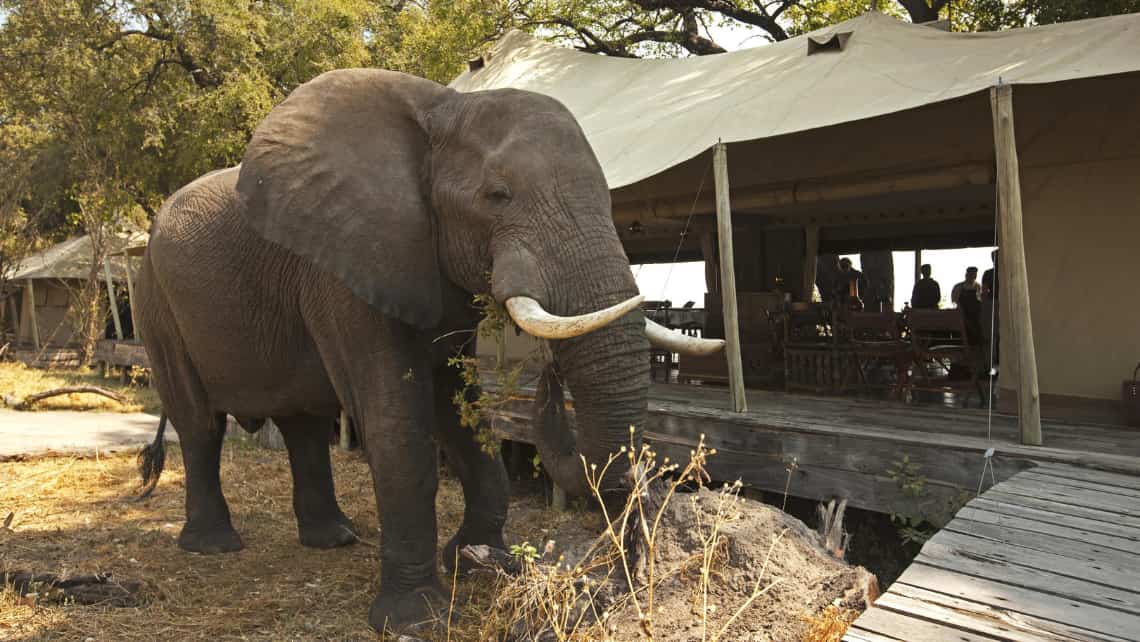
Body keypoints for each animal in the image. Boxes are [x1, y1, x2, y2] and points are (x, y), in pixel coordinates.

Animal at [135, 68, 720, 634]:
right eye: (498, 195)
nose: (551, 378)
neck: (444, 110)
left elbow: (460, 412)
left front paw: (480, 563)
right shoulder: (347, 263)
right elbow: (397, 420)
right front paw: (418, 619)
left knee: (304, 426)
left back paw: (334, 539)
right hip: (155, 302)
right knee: (200, 425)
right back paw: (214, 546)